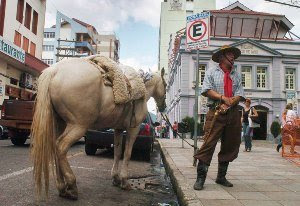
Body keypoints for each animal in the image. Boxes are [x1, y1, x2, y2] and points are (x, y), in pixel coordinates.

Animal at [31, 57, 166, 200]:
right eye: (165, 84)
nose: (163, 106)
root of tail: (54, 71)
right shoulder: (133, 128)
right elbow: (127, 153)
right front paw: (124, 181)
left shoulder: (118, 129)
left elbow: (117, 152)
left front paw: (116, 178)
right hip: (78, 126)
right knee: (60, 147)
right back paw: (71, 185)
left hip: (60, 123)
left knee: (55, 148)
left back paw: (62, 187)